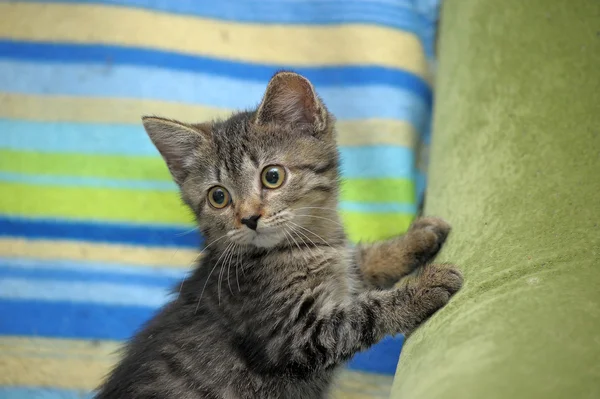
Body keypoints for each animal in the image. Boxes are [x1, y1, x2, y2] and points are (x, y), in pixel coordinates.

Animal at [95, 72, 464, 399]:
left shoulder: (340, 264)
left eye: (272, 176)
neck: (303, 246)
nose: (249, 218)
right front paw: (424, 286)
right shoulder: (293, 337)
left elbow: (362, 260)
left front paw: (416, 238)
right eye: (219, 197)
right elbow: (364, 313)